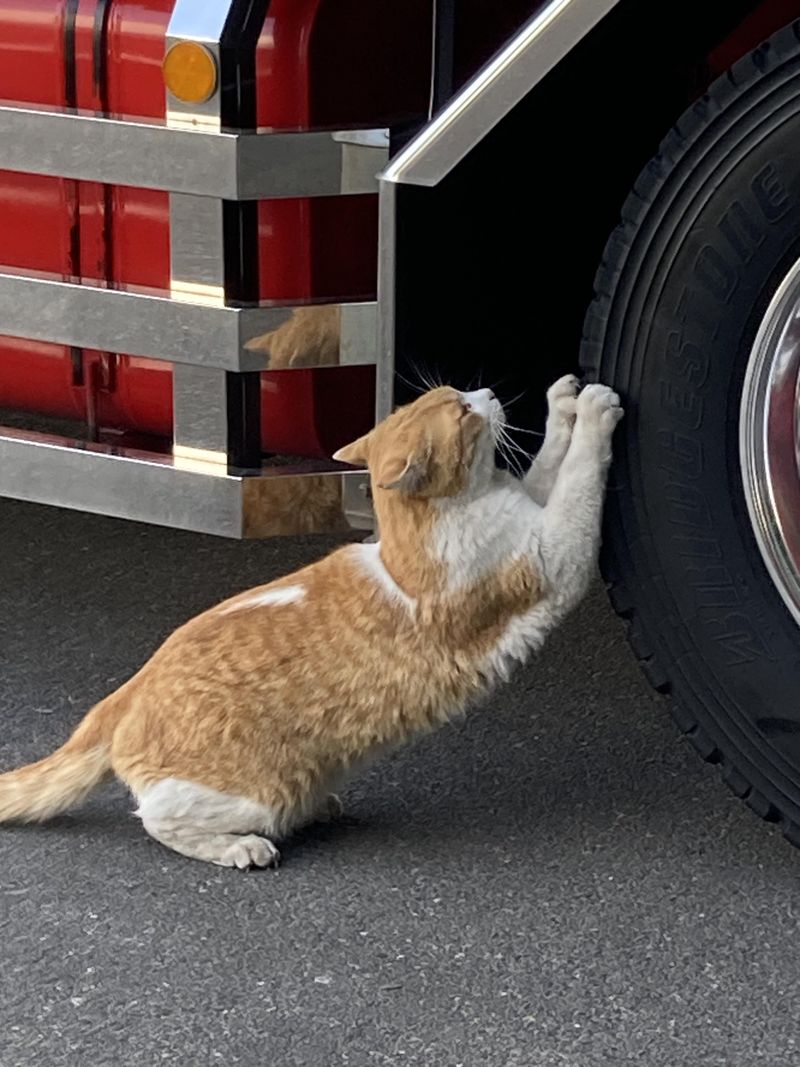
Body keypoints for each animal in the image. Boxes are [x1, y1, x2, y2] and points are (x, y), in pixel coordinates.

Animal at [0, 375, 627, 866]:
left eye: (461, 395)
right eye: (463, 412)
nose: (490, 393)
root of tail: (130, 689)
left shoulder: (532, 509)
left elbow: (550, 463)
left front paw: (562, 402)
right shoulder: (554, 556)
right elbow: (578, 479)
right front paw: (595, 411)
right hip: (256, 792)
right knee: (157, 818)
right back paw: (242, 846)